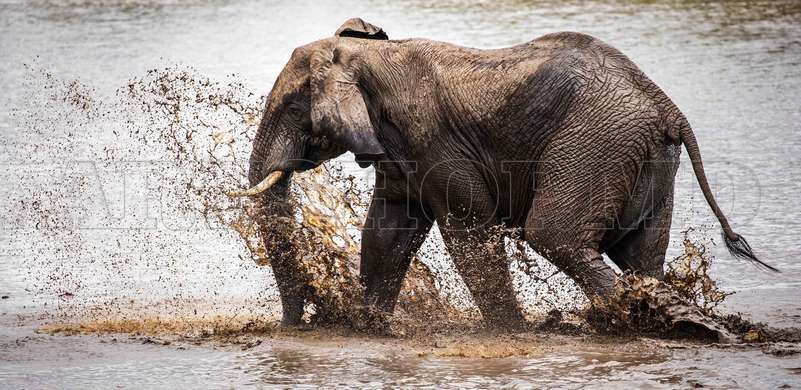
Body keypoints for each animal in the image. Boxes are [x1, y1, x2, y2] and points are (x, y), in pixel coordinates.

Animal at [236, 19, 776, 330]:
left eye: (291, 107)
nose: (297, 325)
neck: (366, 56)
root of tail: (667, 107)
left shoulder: (432, 140)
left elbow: (468, 229)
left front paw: (510, 332)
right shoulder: (398, 149)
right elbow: (390, 228)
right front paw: (367, 326)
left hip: (595, 144)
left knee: (556, 237)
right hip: (645, 159)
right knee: (640, 256)